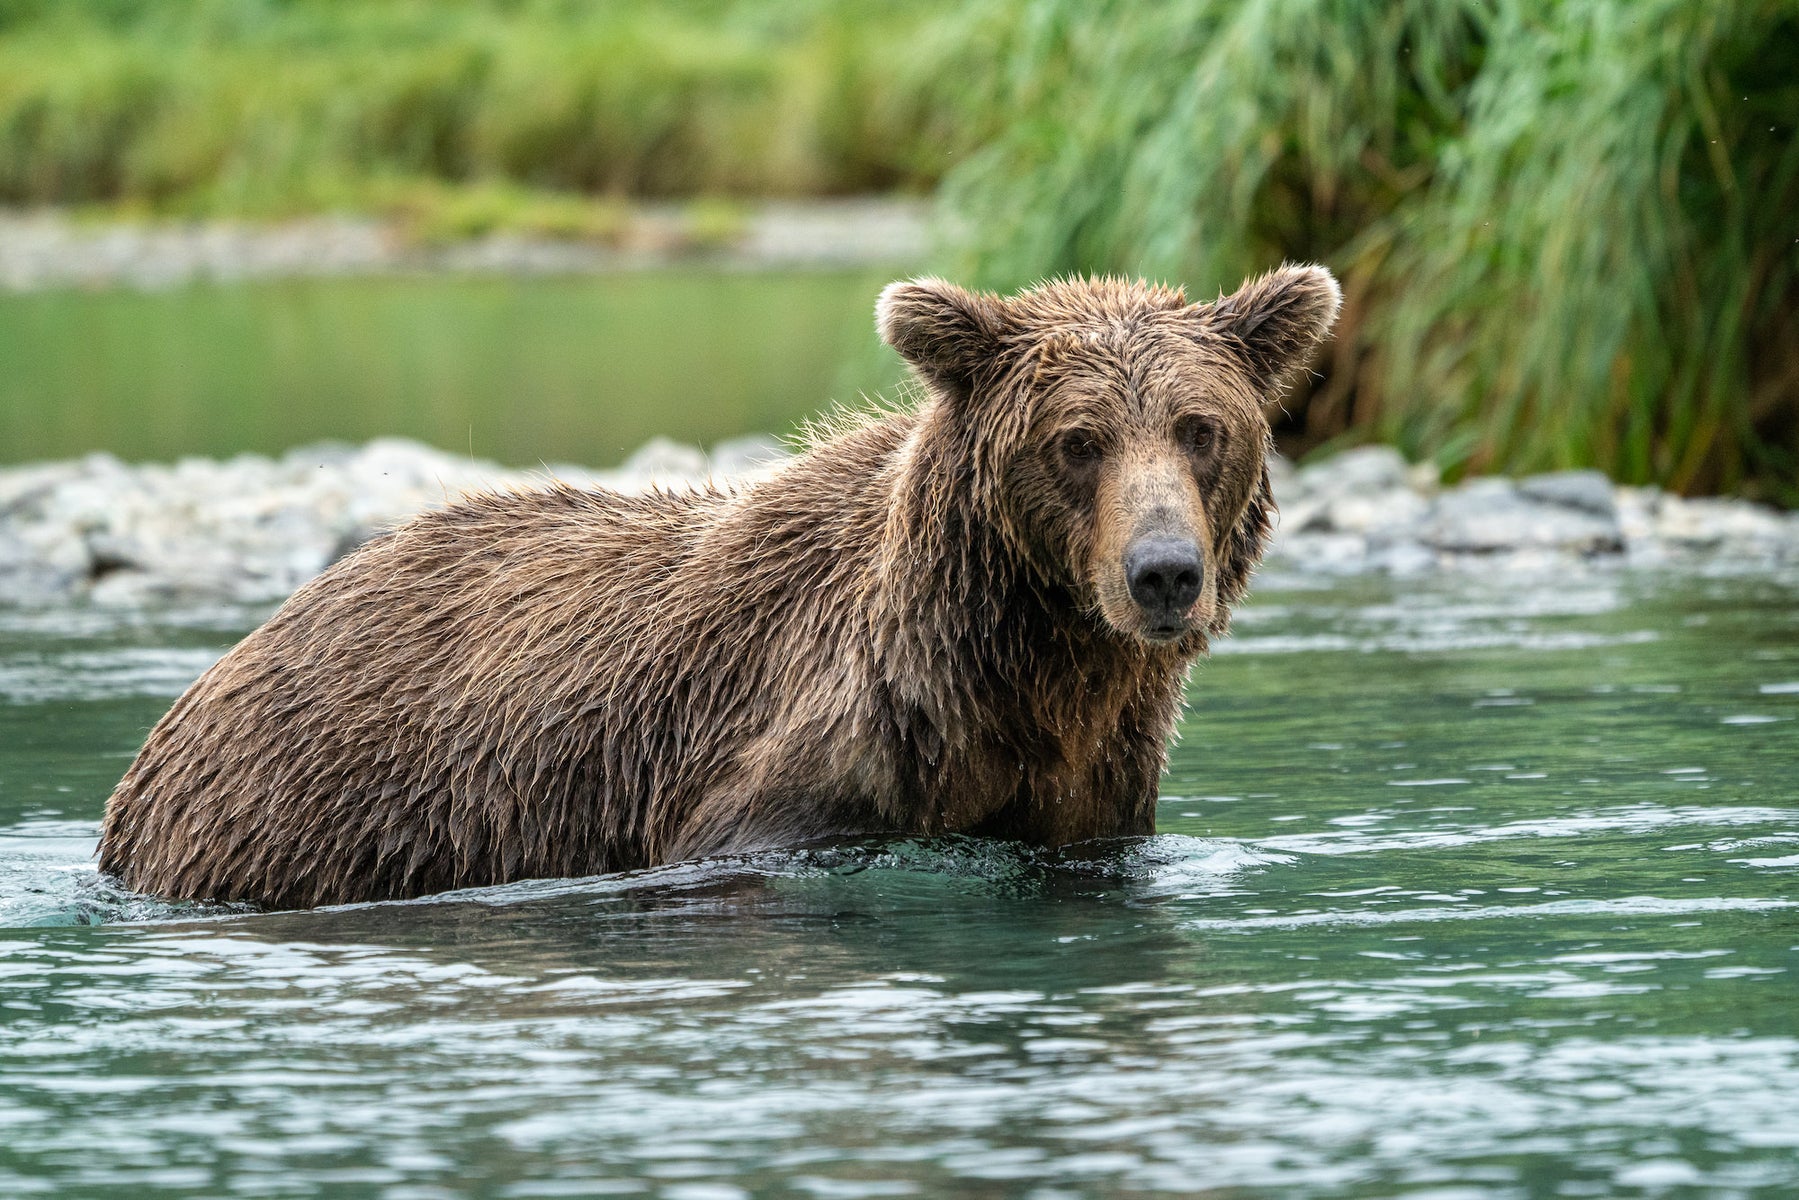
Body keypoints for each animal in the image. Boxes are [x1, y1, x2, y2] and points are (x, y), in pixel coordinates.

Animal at [97, 266, 1341, 910]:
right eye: (1076, 441)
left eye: (1200, 427)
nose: (1161, 572)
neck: (1017, 667)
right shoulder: (813, 755)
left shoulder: (1091, 786)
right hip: (310, 810)